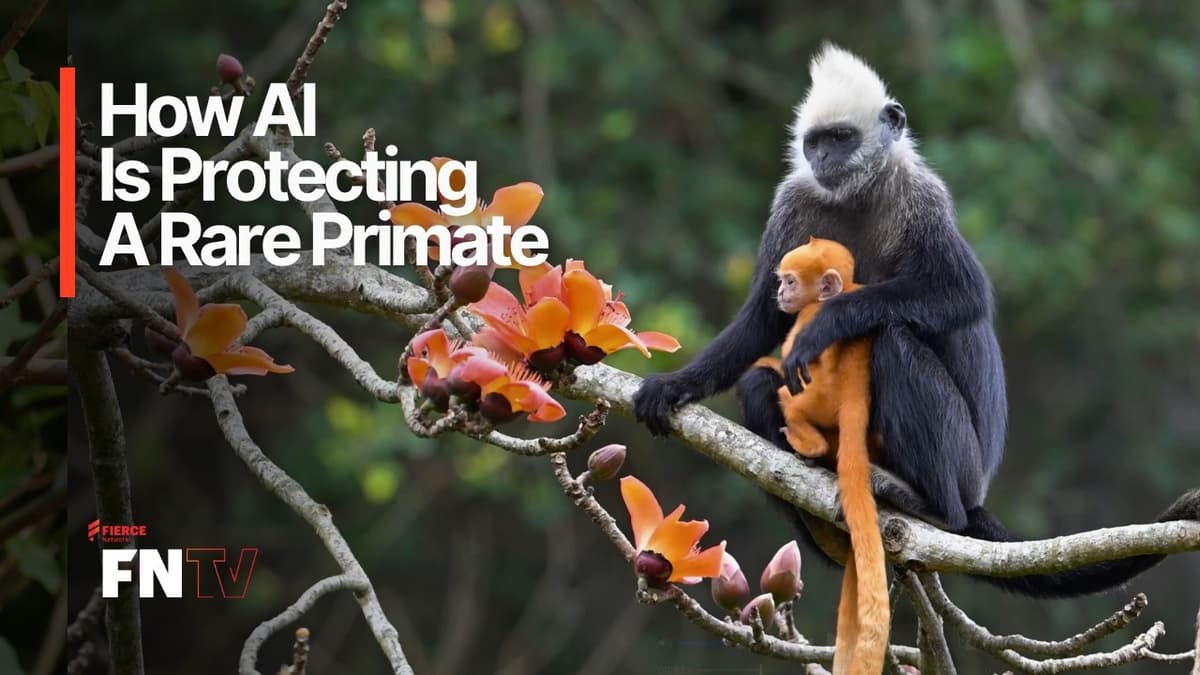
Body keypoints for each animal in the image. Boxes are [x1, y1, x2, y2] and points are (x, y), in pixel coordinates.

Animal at [632, 42, 1200, 597]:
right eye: (815, 144)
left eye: (841, 138)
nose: (824, 158)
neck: (858, 195)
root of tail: (976, 491)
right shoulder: (792, 202)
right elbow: (762, 321)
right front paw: (674, 386)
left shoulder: (923, 197)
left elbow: (963, 294)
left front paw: (827, 323)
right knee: (756, 381)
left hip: (961, 465)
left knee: (894, 341)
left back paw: (933, 509)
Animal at [768, 238, 889, 675]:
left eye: (789, 280)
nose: (779, 293)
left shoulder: (807, 317)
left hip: (817, 400)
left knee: (786, 394)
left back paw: (807, 441)